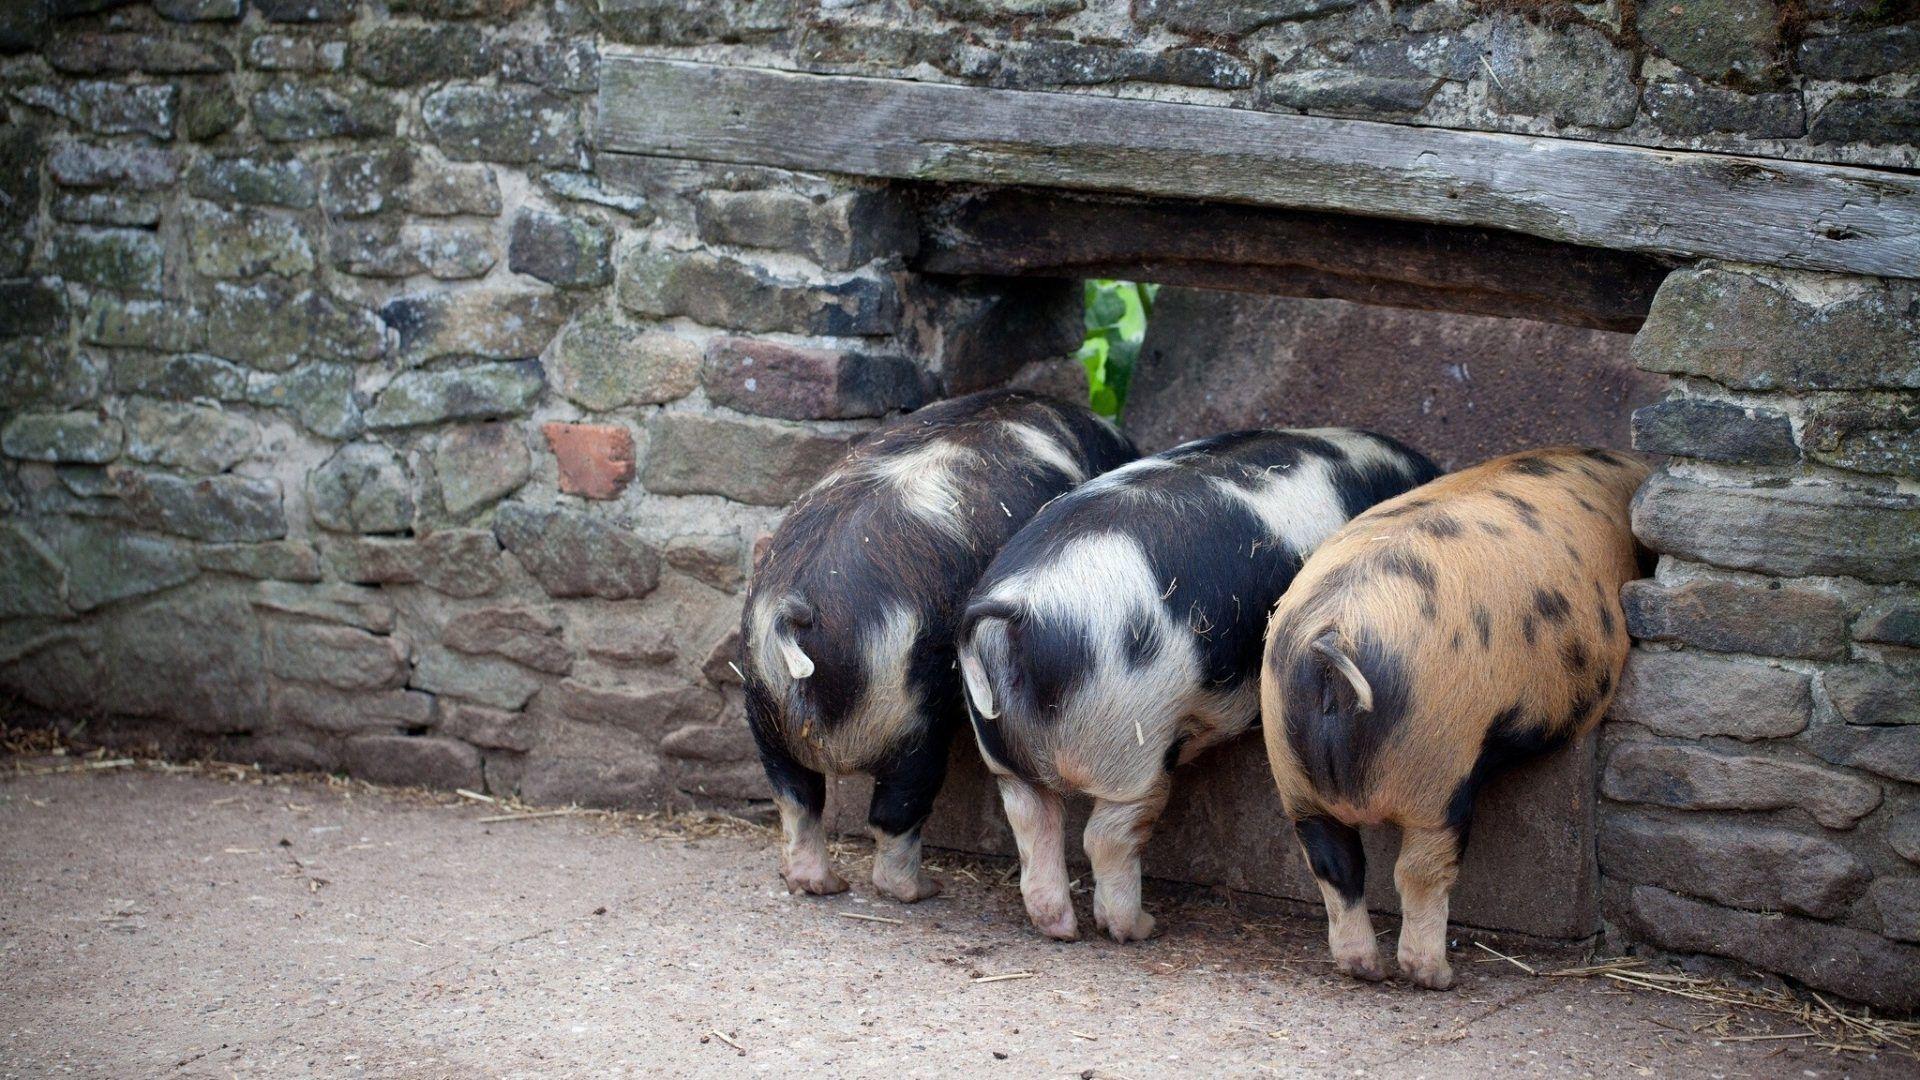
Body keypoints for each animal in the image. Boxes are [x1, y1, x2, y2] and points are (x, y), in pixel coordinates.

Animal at [743, 389, 1138, 903]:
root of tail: (798, 608)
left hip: (763, 711)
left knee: (796, 799)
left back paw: (821, 884)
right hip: (910, 721)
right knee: (895, 810)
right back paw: (921, 890)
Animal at [956, 429, 1439, 942]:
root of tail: (1016, 609)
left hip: (1005, 753)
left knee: (1031, 819)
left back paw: (1063, 930)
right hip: (1129, 742)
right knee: (1107, 835)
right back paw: (1139, 928)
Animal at [1260, 446, 1648, 989]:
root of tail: (1335, 634)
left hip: (1289, 764)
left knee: (1334, 863)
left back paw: (1366, 969)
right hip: (1439, 762)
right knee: (1418, 869)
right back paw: (1437, 976)